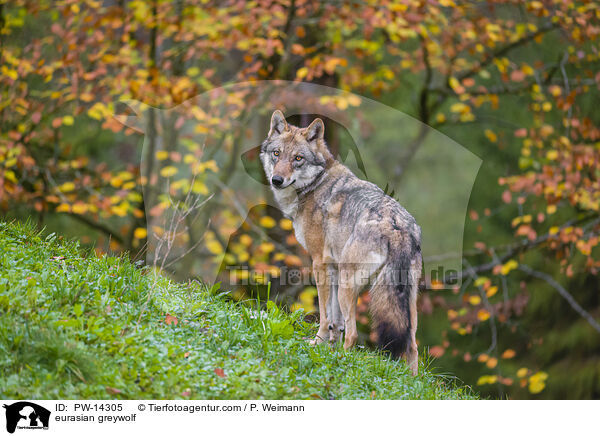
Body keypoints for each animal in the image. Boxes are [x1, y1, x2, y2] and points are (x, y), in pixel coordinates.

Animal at [258, 109, 422, 374]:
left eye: (298, 158)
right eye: (276, 154)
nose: (277, 180)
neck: (315, 184)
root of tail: (398, 227)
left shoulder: (319, 264)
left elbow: (326, 316)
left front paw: (318, 344)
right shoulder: (332, 267)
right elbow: (335, 321)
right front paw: (328, 347)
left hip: (348, 285)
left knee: (354, 335)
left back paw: (343, 363)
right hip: (405, 299)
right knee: (412, 345)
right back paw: (410, 380)